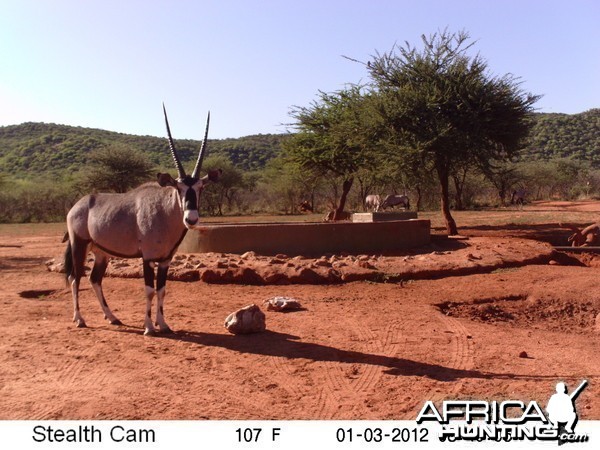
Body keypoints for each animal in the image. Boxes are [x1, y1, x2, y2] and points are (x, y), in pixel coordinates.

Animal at [64, 105, 219, 336]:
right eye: (178, 188)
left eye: (201, 188)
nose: (191, 218)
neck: (164, 212)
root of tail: (77, 205)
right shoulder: (147, 258)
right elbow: (149, 290)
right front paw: (148, 327)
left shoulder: (165, 260)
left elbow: (161, 290)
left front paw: (163, 324)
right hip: (79, 246)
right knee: (75, 278)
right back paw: (79, 319)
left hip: (101, 253)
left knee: (94, 279)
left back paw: (112, 318)